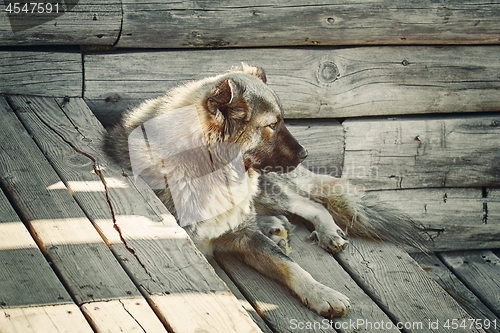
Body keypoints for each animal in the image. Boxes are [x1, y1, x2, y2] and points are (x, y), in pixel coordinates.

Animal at [103, 63, 424, 316]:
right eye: (272, 125)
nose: (305, 154)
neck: (208, 171)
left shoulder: (246, 235)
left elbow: (291, 266)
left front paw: (321, 292)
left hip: (267, 188)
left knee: (313, 205)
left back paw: (321, 231)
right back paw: (275, 226)